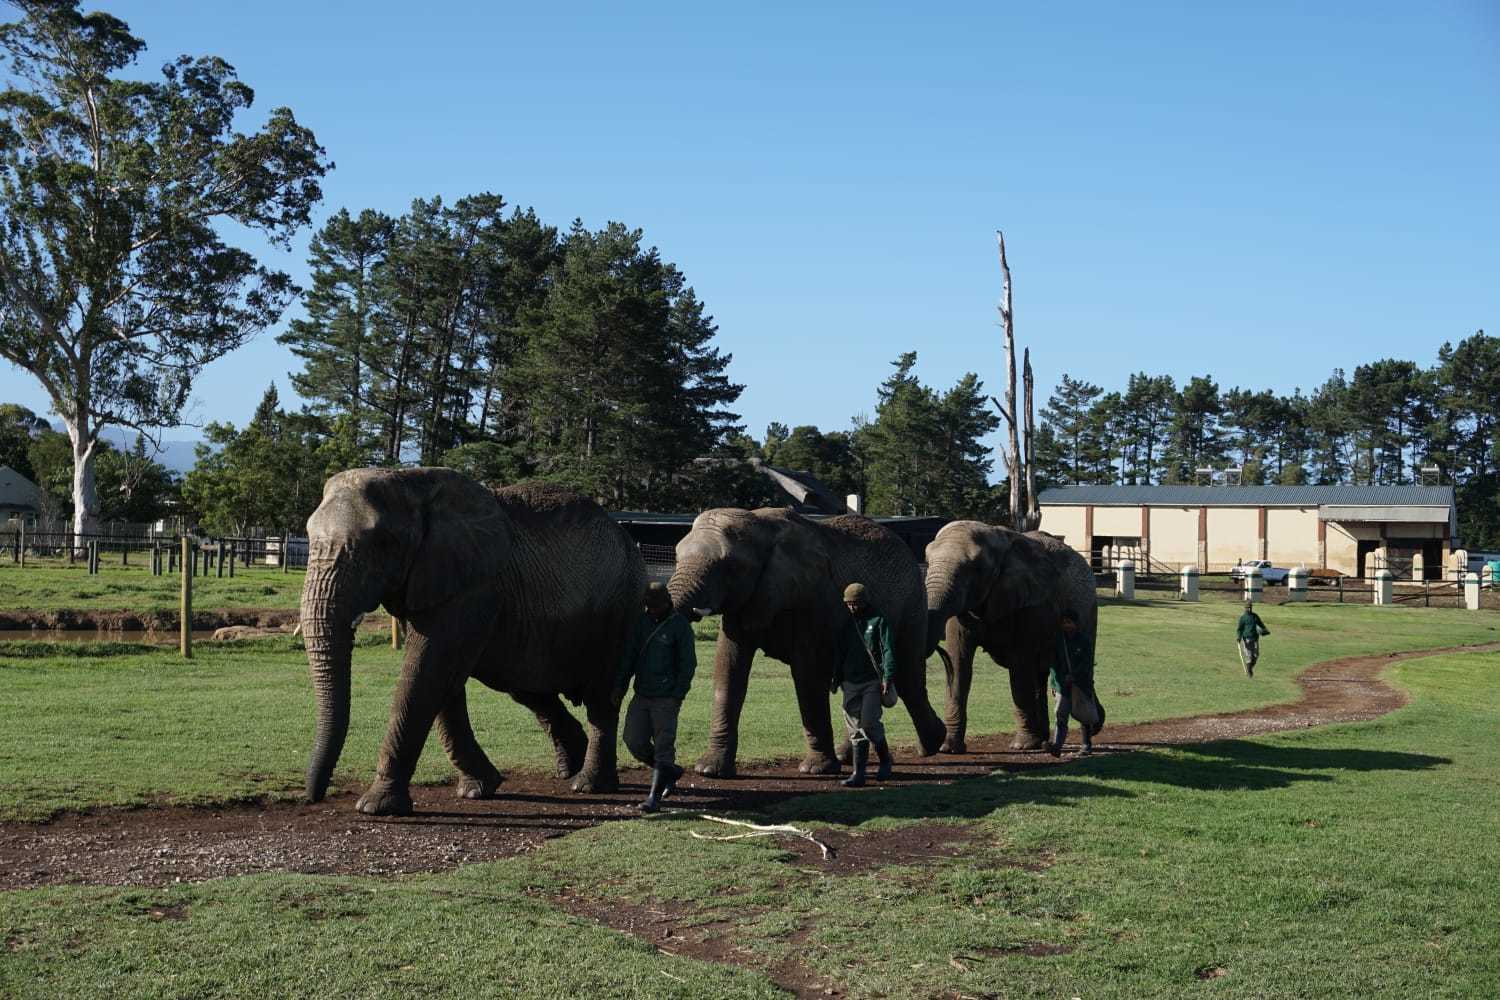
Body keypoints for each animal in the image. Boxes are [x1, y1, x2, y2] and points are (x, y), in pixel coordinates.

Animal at [301, 468, 646, 816]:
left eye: (383, 543)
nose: (313, 797)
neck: (411, 481)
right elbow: (442, 680)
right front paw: (477, 790)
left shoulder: (473, 588)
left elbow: (426, 672)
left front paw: (377, 806)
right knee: (527, 688)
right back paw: (570, 768)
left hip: (621, 609)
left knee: (601, 696)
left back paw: (589, 785)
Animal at [667, 507, 945, 777]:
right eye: (676, 557)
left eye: (730, 565)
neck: (761, 525)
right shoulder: (744, 601)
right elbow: (728, 671)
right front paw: (709, 770)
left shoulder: (814, 598)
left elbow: (808, 674)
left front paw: (817, 769)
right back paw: (850, 754)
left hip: (912, 604)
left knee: (908, 677)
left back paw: (934, 742)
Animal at [924, 522, 1098, 752]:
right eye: (927, 560)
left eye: (974, 568)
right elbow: (958, 663)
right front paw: (949, 748)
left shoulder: (1030, 603)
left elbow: (1019, 666)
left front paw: (1022, 746)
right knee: (1040, 675)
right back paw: (1044, 740)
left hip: (1088, 612)